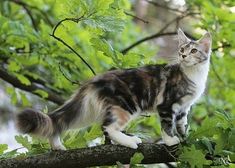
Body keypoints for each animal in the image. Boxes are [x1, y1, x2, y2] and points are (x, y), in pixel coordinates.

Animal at [15, 28, 212, 150]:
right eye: (181, 50)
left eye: (194, 51)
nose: (184, 56)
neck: (195, 75)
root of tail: (95, 79)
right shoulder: (166, 105)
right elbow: (167, 125)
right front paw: (171, 140)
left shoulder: (184, 108)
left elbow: (181, 124)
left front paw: (186, 138)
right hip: (126, 105)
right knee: (108, 127)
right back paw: (130, 141)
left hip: (89, 111)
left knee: (63, 123)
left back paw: (57, 146)